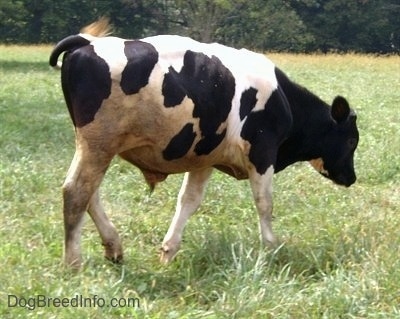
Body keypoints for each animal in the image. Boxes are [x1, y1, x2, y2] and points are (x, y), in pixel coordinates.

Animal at [49, 19, 360, 270]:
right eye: (351, 140)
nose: (352, 177)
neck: (283, 101)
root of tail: (89, 42)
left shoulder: (205, 158)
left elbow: (189, 201)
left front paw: (168, 251)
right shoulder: (262, 153)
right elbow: (264, 203)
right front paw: (271, 248)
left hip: (96, 147)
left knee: (90, 194)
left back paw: (113, 247)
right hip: (98, 144)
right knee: (77, 191)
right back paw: (73, 263)